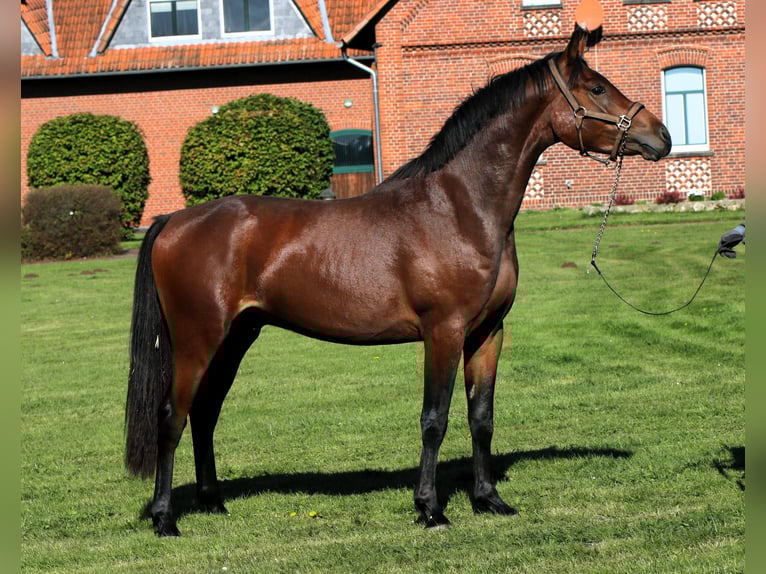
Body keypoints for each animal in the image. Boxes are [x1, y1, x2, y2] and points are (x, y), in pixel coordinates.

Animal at [125, 24, 671, 536]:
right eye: (597, 88)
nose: (661, 137)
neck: (459, 207)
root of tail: (174, 219)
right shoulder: (443, 332)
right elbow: (435, 419)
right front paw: (430, 508)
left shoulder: (487, 333)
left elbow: (481, 417)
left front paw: (489, 500)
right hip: (197, 339)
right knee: (172, 417)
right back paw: (165, 518)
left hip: (236, 337)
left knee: (205, 412)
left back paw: (213, 502)